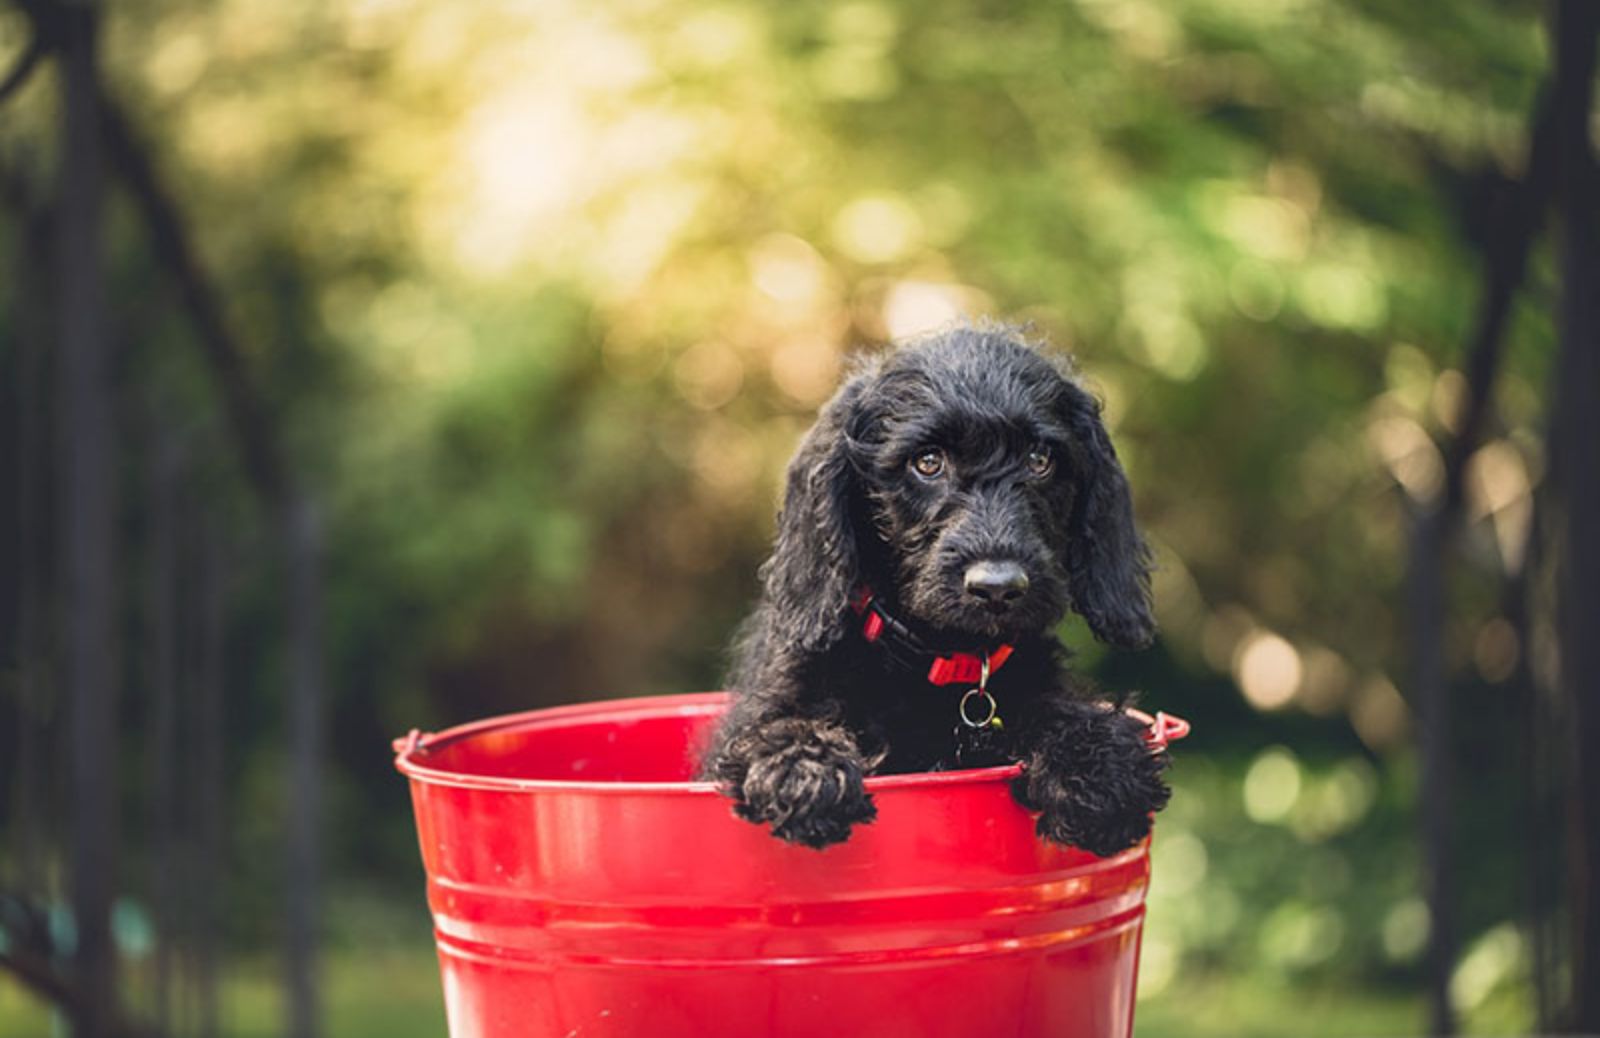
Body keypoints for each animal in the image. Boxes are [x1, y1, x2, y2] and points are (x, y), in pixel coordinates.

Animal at [707, 323, 1171, 850]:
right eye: (927, 462)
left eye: (1040, 460)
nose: (998, 587)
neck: (937, 659)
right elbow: (779, 725)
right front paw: (803, 770)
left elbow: (1059, 706)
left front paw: (1098, 764)